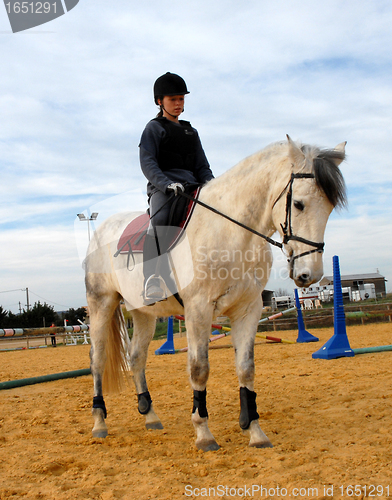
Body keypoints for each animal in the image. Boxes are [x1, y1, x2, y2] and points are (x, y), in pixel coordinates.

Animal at [85, 135, 346, 452]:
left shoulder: (248, 309)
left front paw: (255, 431)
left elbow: (246, 368)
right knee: (97, 359)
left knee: (136, 357)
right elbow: (199, 369)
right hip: (101, 304)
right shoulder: (198, 309)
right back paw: (99, 423)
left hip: (144, 312)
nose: (311, 275)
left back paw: (150, 416)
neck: (231, 231)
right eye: (298, 204)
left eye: (330, 208)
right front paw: (204, 433)